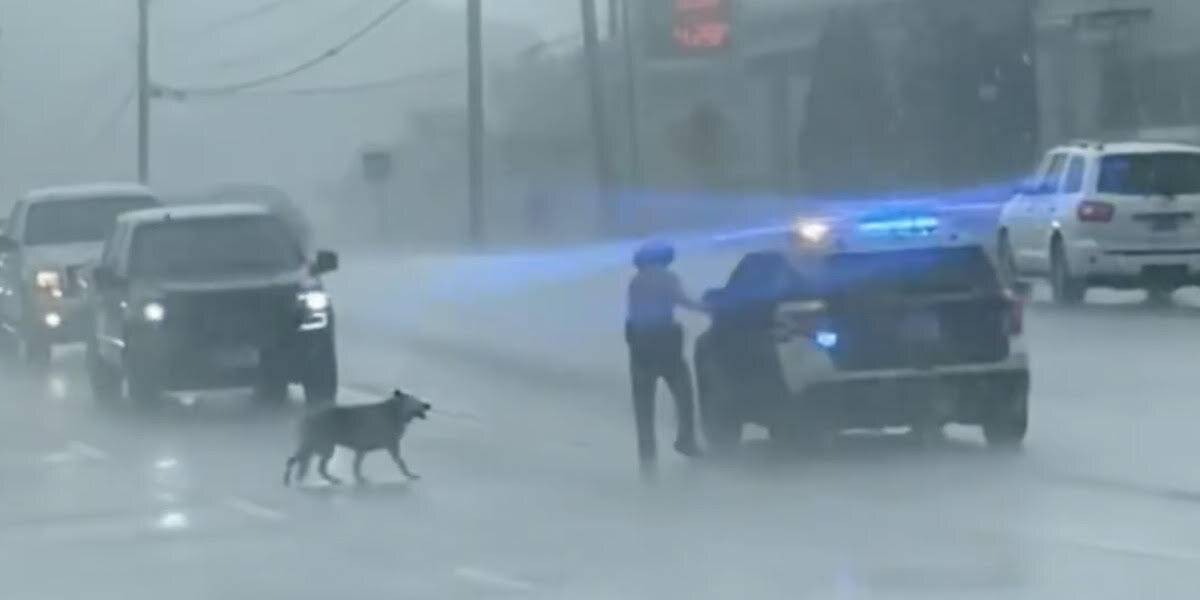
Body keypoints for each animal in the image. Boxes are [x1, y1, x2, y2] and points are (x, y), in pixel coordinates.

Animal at [280, 388, 432, 487]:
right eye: (417, 399)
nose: (428, 405)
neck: (395, 411)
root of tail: (306, 417)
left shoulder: (361, 449)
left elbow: (356, 466)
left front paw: (360, 479)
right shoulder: (391, 445)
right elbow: (401, 462)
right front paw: (410, 474)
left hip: (317, 446)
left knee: (305, 463)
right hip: (324, 447)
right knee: (308, 464)